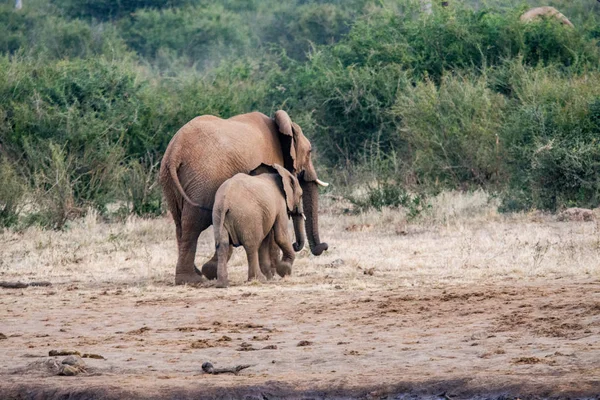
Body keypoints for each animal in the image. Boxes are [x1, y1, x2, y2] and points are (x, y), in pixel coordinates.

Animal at [159, 109, 328, 284]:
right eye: (309, 152)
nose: (324, 246)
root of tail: (175, 152)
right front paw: (275, 272)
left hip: (170, 182)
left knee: (180, 224)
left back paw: (198, 274)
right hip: (201, 180)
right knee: (193, 224)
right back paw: (192, 279)